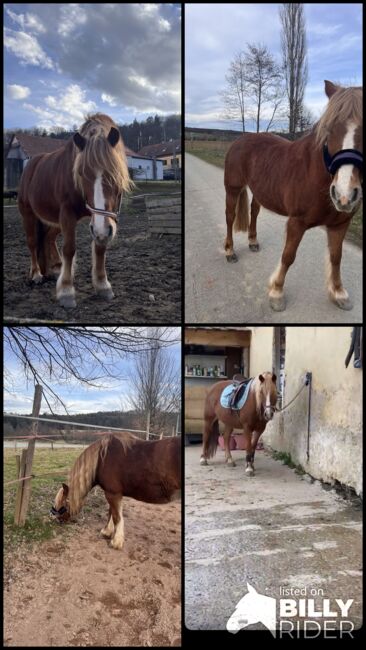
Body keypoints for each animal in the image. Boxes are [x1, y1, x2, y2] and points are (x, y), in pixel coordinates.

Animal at [18, 112, 133, 308]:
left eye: (114, 173)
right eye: (81, 173)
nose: (102, 230)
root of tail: (30, 166)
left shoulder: (101, 222)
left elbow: (100, 248)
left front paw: (102, 285)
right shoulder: (68, 214)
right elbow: (69, 248)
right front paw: (66, 290)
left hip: (54, 220)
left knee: (48, 238)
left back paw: (55, 268)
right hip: (29, 215)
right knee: (33, 242)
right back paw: (36, 274)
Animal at [50, 432, 182, 548]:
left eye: (63, 504)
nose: (57, 520)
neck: (101, 460)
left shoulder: (112, 494)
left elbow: (116, 517)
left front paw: (116, 542)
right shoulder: (112, 493)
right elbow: (111, 513)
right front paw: (107, 532)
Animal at [224, 81, 362, 312]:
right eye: (329, 130)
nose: (344, 195)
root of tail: (239, 140)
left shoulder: (340, 224)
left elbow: (336, 257)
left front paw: (338, 292)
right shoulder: (297, 222)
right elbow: (288, 256)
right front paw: (277, 293)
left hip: (259, 191)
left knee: (254, 212)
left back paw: (253, 241)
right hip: (232, 189)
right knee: (230, 217)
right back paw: (229, 252)